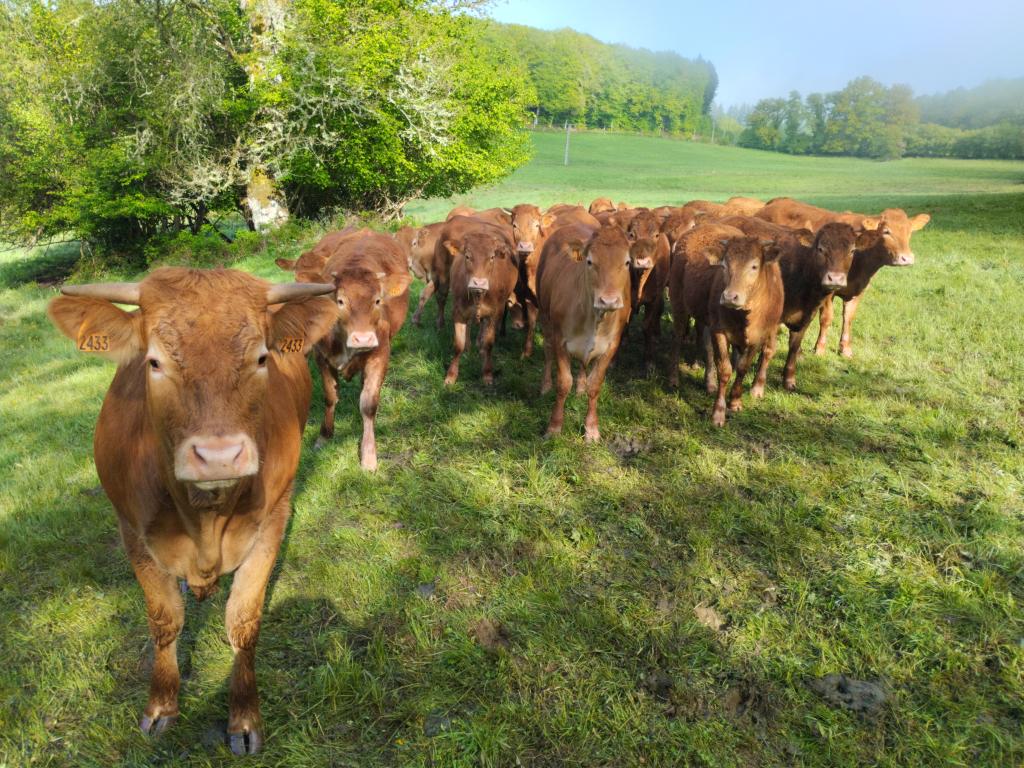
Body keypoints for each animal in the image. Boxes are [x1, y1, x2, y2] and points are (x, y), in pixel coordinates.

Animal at [48, 270, 335, 757]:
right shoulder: (132, 531)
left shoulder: (272, 521)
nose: (219, 456)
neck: (203, 517)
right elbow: (165, 620)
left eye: (262, 357)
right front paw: (161, 706)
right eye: (154, 362)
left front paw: (243, 718)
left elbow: (243, 621)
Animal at [307, 230, 411, 468]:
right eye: (340, 301)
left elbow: (368, 403)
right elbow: (330, 396)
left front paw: (369, 455)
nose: (363, 338)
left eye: (378, 300)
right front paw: (324, 436)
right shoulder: (321, 357)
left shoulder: (380, 355)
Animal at [442, 227, 520, 385]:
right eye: (467, 256)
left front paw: (487, 374)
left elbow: (489, 343)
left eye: (492, 257)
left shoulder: (494, 313)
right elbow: (458, 344)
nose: (478, 283)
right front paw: (451, 375)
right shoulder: (458, 311)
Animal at [536, 224, 630, 438]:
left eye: (627, 262)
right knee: (547, 351)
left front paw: (592, 428)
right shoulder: (560, 339)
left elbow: (595, 385)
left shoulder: (612, 344)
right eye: (589, 262)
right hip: (544, 315)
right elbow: (563, 383)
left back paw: (580, 386)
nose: (609, 300)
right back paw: (545, 385)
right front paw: (554, 427)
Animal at [815, 207, 929, 358]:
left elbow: (848, 318)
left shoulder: (859, 289)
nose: (907, 258)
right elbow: (826, 318)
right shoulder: (828, 287)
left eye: (909, 231)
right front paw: (819, 349)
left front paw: (845, 348)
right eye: (886, 231)